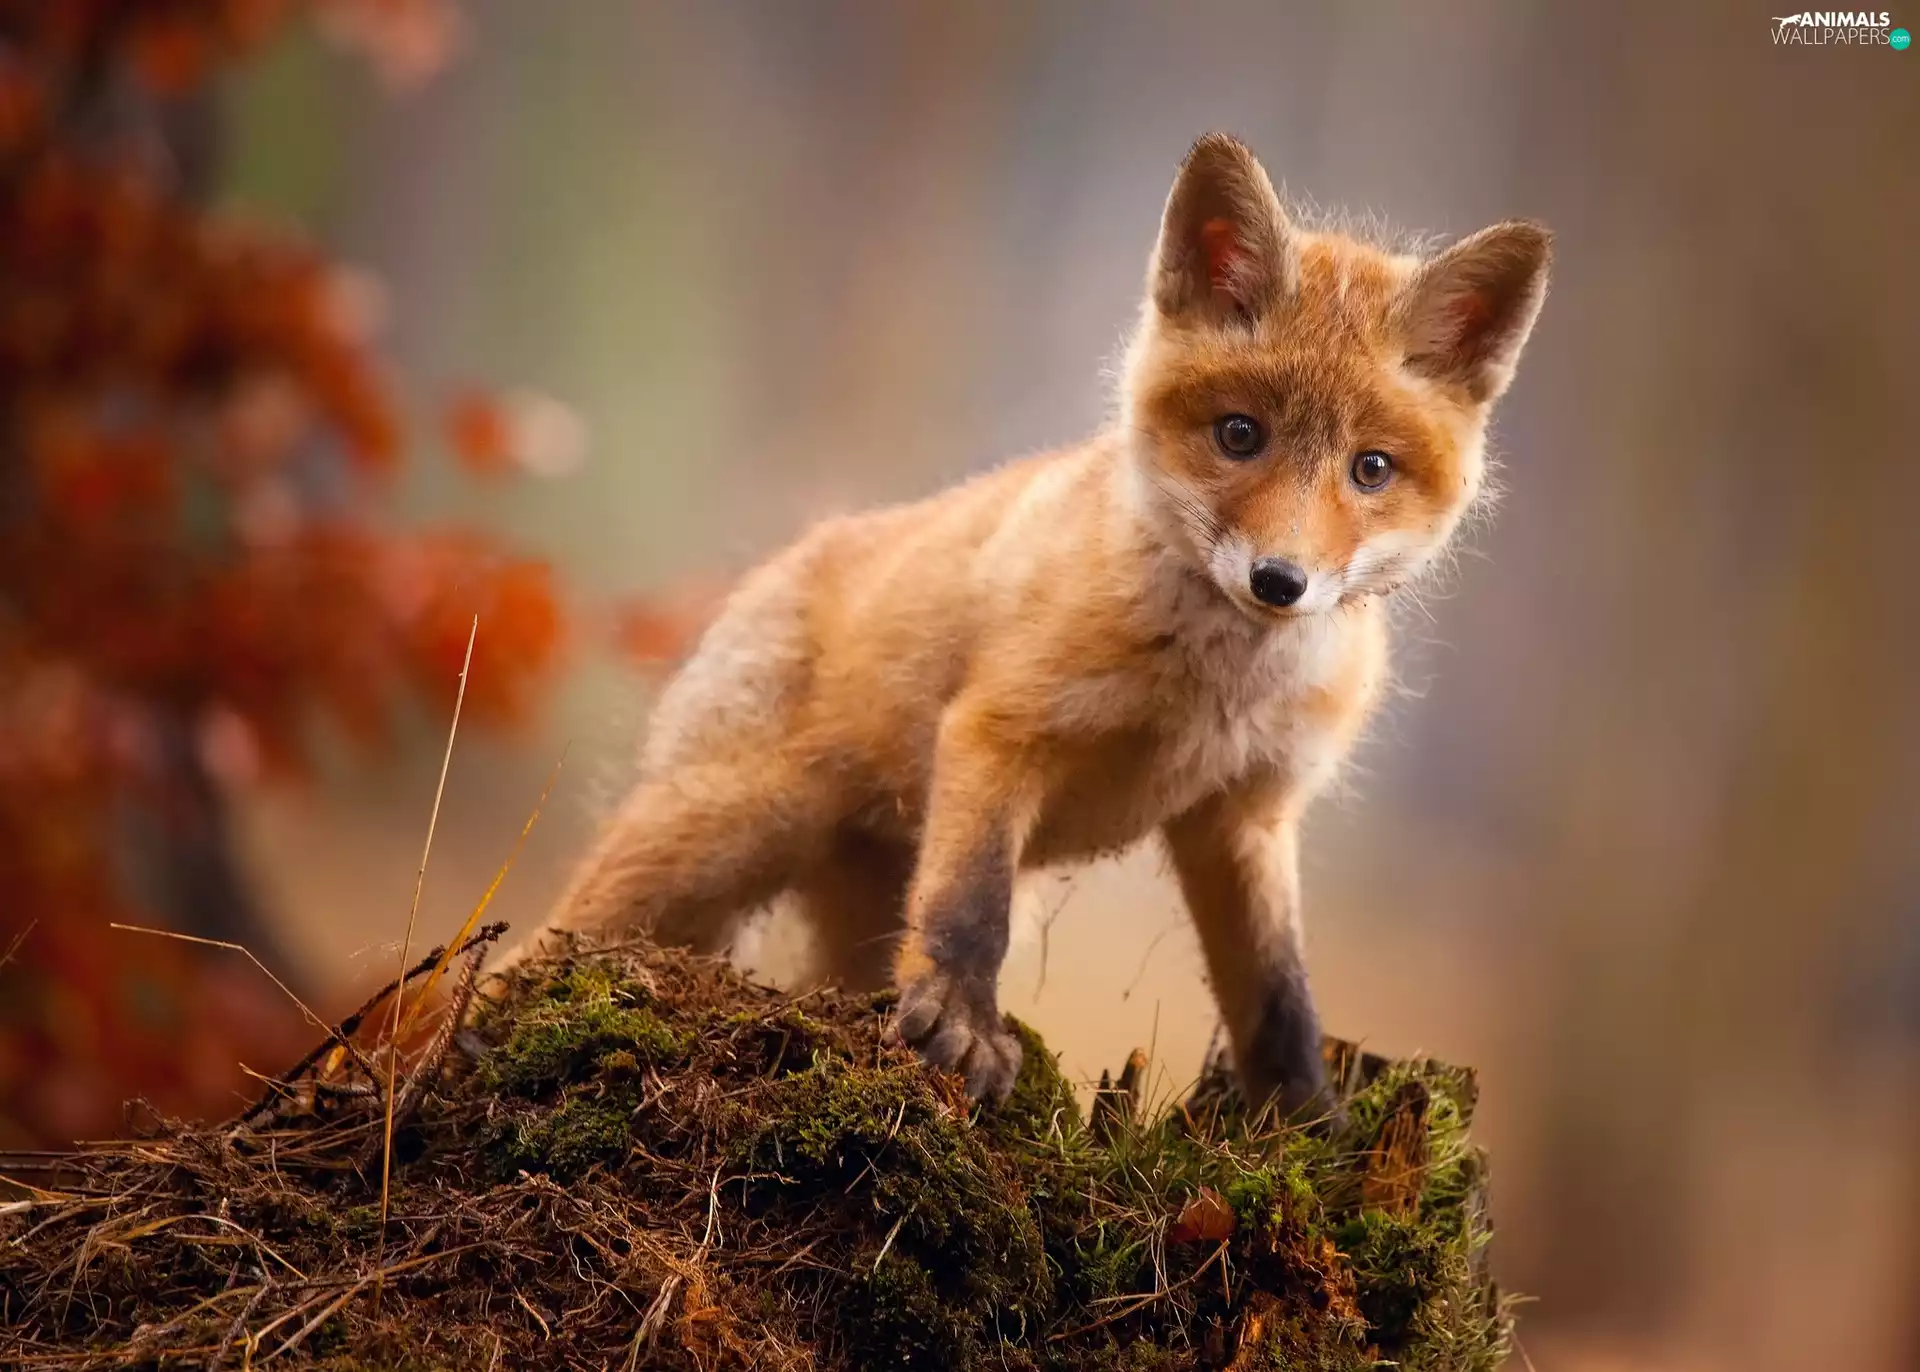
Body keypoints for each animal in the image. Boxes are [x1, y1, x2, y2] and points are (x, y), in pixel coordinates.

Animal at [499, 133, 1551, 1117]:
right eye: (1239, 435)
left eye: (1371, 469)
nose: (1279, 581)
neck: (1210, 690)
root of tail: (787, 559)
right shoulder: (1000, 731)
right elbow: (972, 910)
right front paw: (962, 1028)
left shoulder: (1245, 814)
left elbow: (1278, 995)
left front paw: (1305, 1123)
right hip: (719, 833)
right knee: (545, 942)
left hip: (847, 903)